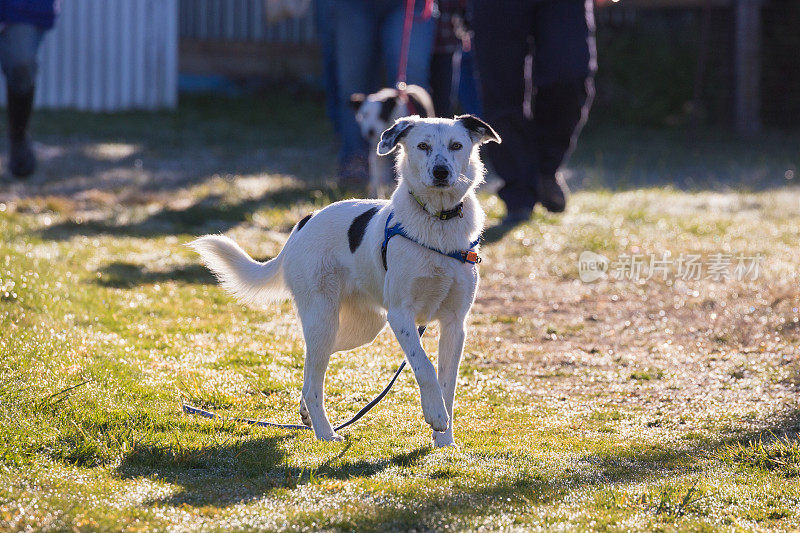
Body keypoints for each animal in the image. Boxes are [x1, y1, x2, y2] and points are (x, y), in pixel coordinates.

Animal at [190, 115, 496, 444]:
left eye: (457, 146)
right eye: (423, 146)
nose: (441, 172)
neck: (438, 221)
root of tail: (303, 223)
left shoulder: (455, 324)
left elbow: (447, 384)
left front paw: (445, 441)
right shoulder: (401, 315)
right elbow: (424, 367)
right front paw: (436, 415)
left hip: (362, 327)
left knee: (311, 365)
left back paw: (307, 414)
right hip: (326, 317)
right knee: (315, 379)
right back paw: (325, 432)